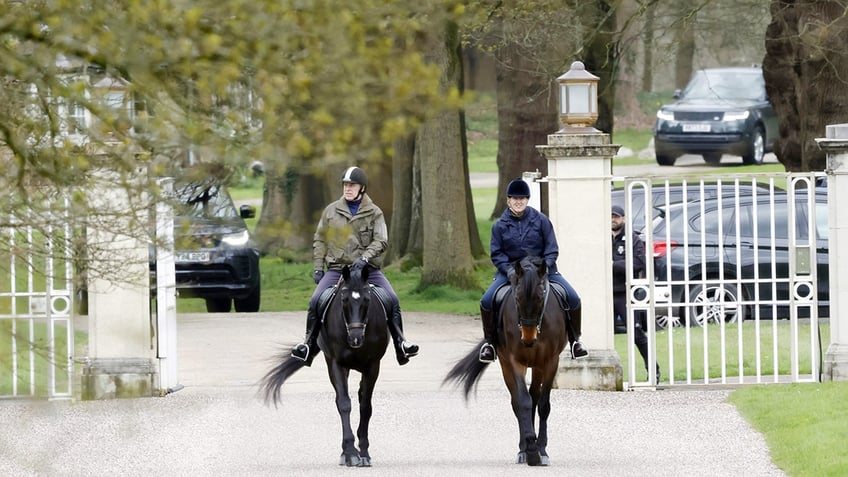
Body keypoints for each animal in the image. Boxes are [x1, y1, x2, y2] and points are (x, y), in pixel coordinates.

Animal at [258, 266, 390, 466]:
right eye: (344, 300)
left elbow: (366, 407)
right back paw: (345, 453)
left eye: (367, 299)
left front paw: (364, 453)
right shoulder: (336, 363)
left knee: (361, 397)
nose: (356, 339)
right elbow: (344, 404)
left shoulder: (373, 365)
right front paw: (351, 452)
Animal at [444, 255, 568, 466]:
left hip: (537, 366)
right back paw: (523, 449)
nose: (528, 339)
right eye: (517, 298)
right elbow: (523, 402)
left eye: (540, 297)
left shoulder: (550, 361)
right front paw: (530, 449)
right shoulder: (515, 360)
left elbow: (543, 404)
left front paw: (542, 450)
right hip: (506, 364)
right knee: (518, 402)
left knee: (535, 396)